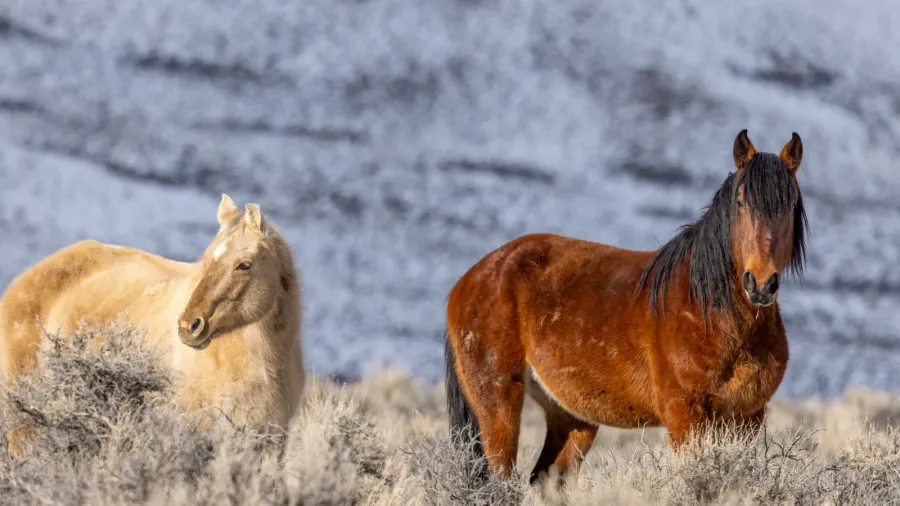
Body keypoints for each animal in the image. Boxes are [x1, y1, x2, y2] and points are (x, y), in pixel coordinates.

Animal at [445, 130, 808, 485]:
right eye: (741, 202)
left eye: (790, 204)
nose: (760, 283)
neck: (711, 312)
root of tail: (469, 279)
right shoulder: (685, 416)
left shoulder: (748, 417)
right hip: (498, 407)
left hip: (570, 417)